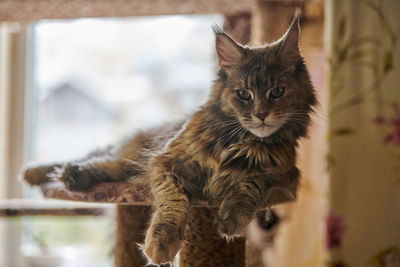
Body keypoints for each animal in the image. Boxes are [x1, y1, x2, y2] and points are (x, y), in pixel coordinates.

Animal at [23, 14, 318, 266]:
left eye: (277, 92)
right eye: (244, 94)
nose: (261, 115)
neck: (240, 141)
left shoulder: (284, 177)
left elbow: (251, 184)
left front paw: (232, 217)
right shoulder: (165, 162)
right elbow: (173, 201)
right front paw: (161, 243)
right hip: (132, 157)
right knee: (97, 160)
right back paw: (51, 173)